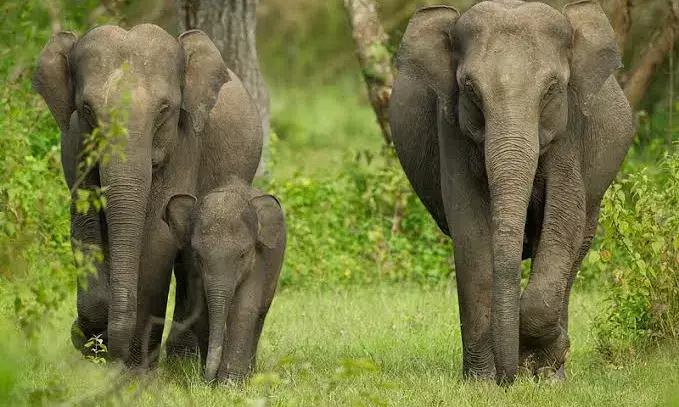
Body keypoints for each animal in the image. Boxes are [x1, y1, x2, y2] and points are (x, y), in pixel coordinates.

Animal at [32, 24, 262, 365]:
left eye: (164, 110)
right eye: (87, 110)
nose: (95, 343)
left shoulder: (184, 144)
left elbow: (157, 237)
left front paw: (133, 367)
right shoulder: (76, 148)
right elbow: (84, 227)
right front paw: (89, 341)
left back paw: (181, 360)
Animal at [162, 178, 286, 383]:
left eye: (243, 255)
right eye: (197, 255)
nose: (207, 378)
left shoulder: (258, 261)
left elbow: (242, 309)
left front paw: (229, 384)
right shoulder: (193, 269)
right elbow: (201, 311)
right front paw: (212, 382)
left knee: (260, 315)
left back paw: (250, 373)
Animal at [389, 1, 635, 384]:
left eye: (552, 88)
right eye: (471, 89)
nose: (510, 378)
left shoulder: (571, 131)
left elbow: (563, 219)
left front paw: (542, 359)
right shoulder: (451, 130)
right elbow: (471, 232)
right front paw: (482, 383)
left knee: (577, 248)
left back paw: (553, 377)